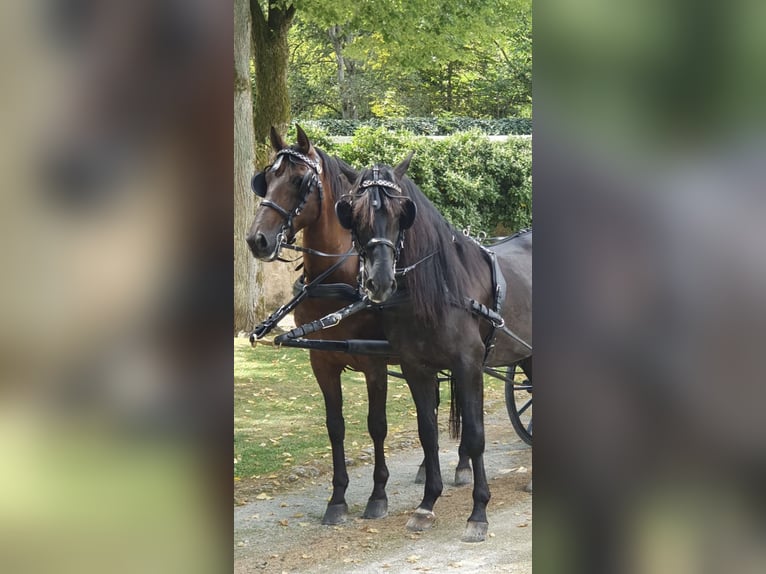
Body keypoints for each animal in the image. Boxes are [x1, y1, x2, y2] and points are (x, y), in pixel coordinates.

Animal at [334, 155, 532, 542]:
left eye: (402, 212)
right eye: (354, 213)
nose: (380, 281)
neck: (438, 289)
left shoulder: (468, 366)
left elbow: (475, 435)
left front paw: (478, 512)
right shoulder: (416, 368)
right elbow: (428, 433)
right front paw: (427, 504)